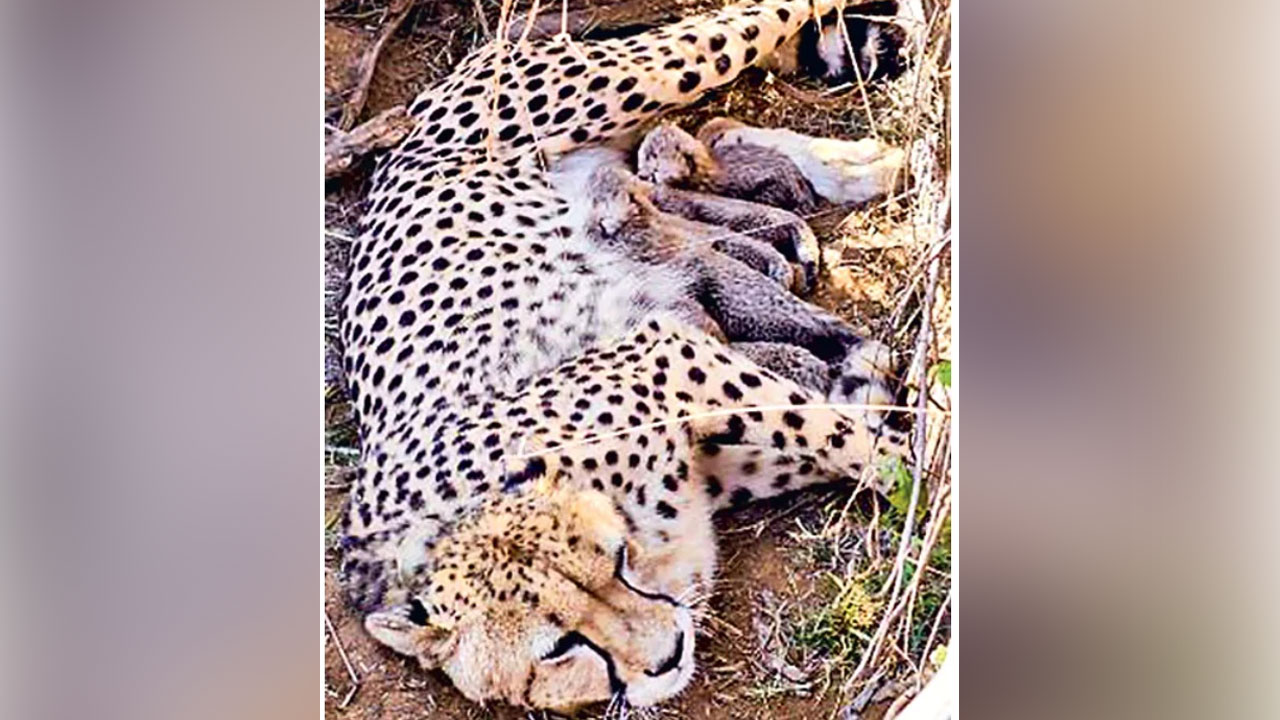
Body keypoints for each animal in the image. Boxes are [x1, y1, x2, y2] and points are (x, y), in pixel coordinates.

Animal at [336, 0, 910, 712]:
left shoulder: (670, 356)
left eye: (614, 562)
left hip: (638, 76)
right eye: (559, 648)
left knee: (751, 23)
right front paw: (863, 384)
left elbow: (846, 438)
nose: (667, 654)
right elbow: (830, 426)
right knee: (708, 133)